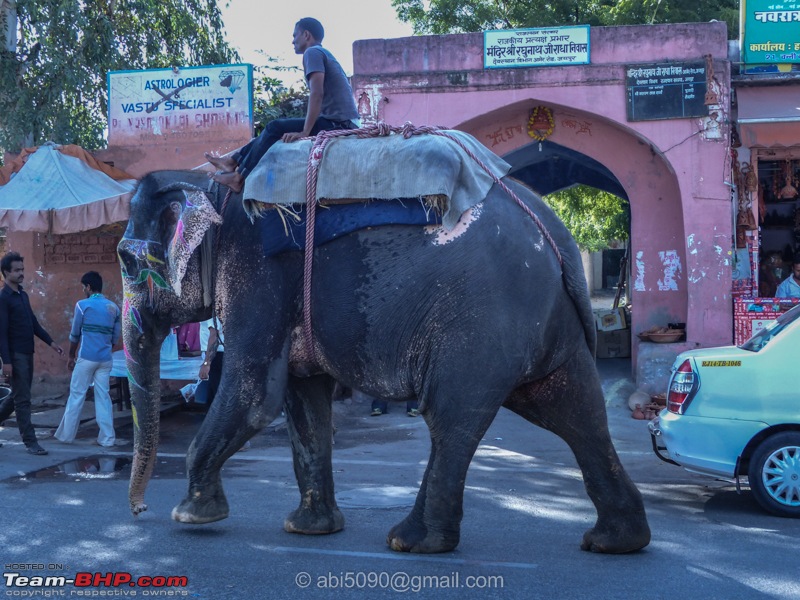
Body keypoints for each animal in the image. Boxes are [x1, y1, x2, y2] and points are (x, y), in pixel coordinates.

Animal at [119, 163, 652, 552]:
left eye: (125, 261)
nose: (139, 511)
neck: (214, 186)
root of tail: (557, 235)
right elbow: (303, 403)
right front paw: (308, 528)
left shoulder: (258, 276)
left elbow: (254, 395)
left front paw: (191, 515)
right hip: (547, 326)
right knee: (574, 412)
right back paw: (615, 541)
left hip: (481, 324)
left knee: (452, 417)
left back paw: (412, 541)